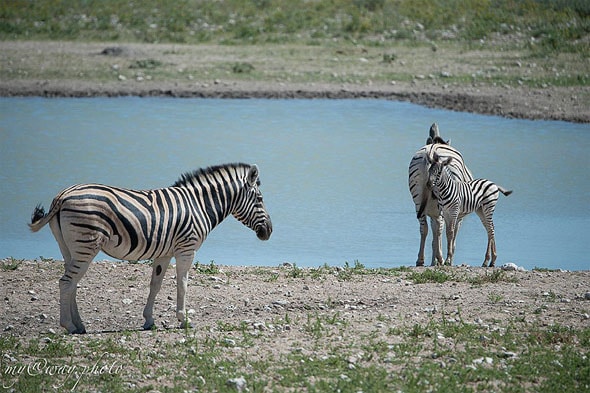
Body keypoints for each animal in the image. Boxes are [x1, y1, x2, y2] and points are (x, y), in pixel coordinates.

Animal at [28, 162, 274, 334]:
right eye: (260, 199)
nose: (269, 232)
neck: (199, 205)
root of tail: (62, 196)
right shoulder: (187, 249)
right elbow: (183, 285)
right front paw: (184, 320)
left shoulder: (164, 253)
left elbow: (155, 285)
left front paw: (149, 320)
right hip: (85, 245)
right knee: (66, 282)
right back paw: (69, 326)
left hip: (69, 247)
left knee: (72, 284)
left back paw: (79, 325)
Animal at [408, 125, 476, 266]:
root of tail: (431, 150)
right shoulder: (458, 215)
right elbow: (451, 235)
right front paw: (447, 259)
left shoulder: (432, 211)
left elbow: (434, 235)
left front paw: (434, 261)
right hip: (443, 201)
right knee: (440, 226)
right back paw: (441, 258)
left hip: (418, 200)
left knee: (424, 228)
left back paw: (421, 259)